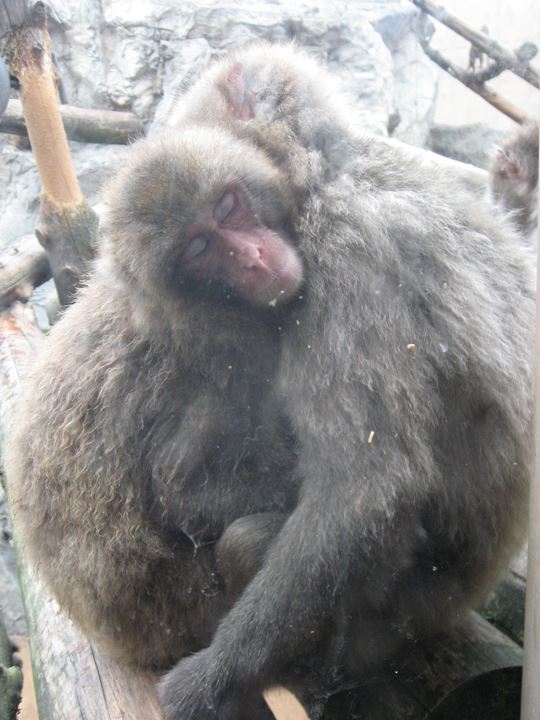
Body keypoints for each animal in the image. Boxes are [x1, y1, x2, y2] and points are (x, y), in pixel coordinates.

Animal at [3, 126, 300, 672]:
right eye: (199, 246)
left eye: (226, 207)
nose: (253, 256)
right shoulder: (224, 369)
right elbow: (184, 496)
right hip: (189, 614)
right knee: (242, 541)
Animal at [152, 46, 536, 720]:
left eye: (225, 206)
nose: (251, 258)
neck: (330, 170)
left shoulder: (348, 259)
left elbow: (366, 492)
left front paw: (213, 680)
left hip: (394, 619)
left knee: (254, 544)